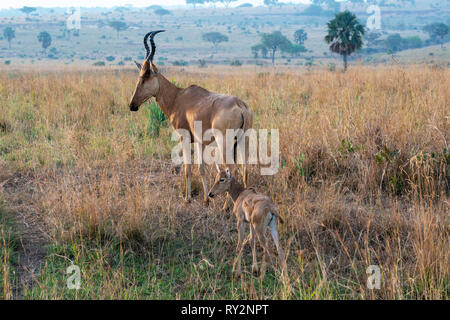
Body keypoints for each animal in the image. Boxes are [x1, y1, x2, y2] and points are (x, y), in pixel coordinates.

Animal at [129, 30, 253, 205]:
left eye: (146, 77)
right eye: (139, 75)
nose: (132, 105)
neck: (178, 97)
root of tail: (240, 104)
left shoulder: (185, 137)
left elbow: (187, 168)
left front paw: (187, 198)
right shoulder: (200, 141)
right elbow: (200, 168)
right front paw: (205, 200)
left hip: (224, 141)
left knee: (231, 168)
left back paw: (225, 206)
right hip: (244, 138)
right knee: (245, 168)